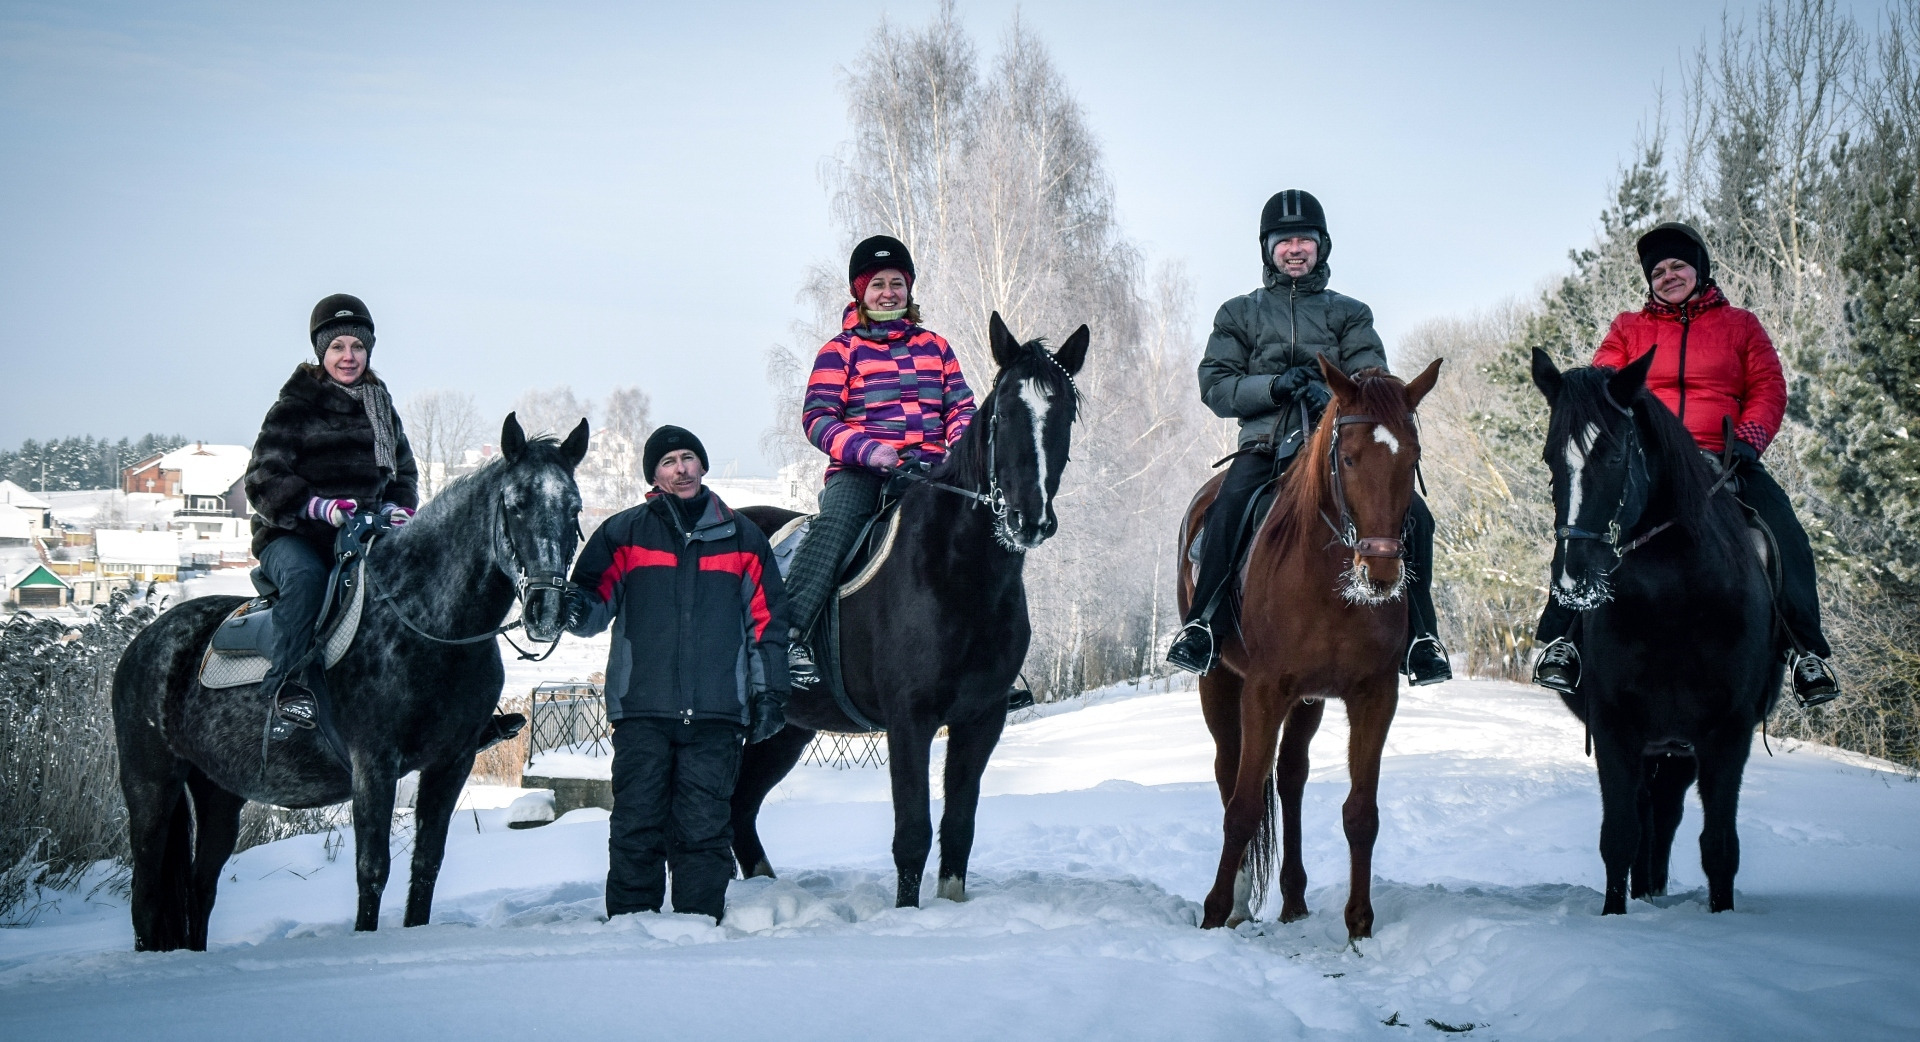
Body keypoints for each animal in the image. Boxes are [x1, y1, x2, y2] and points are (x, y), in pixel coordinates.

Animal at [110, 418, 583, 955]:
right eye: (517, 502)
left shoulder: (452, 762)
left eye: (574, 508)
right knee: (147, 893)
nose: (547, 611)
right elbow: (372, 869)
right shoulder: (373, 765)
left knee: (199, 886)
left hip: (218, 791)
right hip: (151, 784)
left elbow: (427, 866)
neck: (426, 623)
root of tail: (145, 644)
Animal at [729, 314, 1090, 909]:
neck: (961, 573)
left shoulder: (980, 719)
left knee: (741, 805)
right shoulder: (909, 719)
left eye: (1063, 413)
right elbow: (913, 833)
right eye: (1004, 412)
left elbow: (959, 828)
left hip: (785, 727)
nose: (1029, 519)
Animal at [1175, 358, 1436, 936]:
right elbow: (1243, 807)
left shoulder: (1374, 696)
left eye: (1412, 459)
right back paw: (1241, 902)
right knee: (1230, 773)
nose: (1381, 572)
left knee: (1291, 779)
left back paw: (1293, 899)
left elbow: (1361, 813)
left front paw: (1359, 926)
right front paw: (1214, 912)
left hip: (1309, 700)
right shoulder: (1264, 690)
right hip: (1218, 681)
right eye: (1349, 457)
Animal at [1528, 349, 1781, 913]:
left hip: (1677, 749)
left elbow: (1719, 846)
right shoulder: (1615, 729)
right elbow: (1619, 835)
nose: (1574, 576)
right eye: (1552, 459)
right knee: (1649, 816)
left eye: (1615, 456)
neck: (1672, 602)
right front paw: (1616, 916)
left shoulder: (1727, 734)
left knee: (1666, 815)